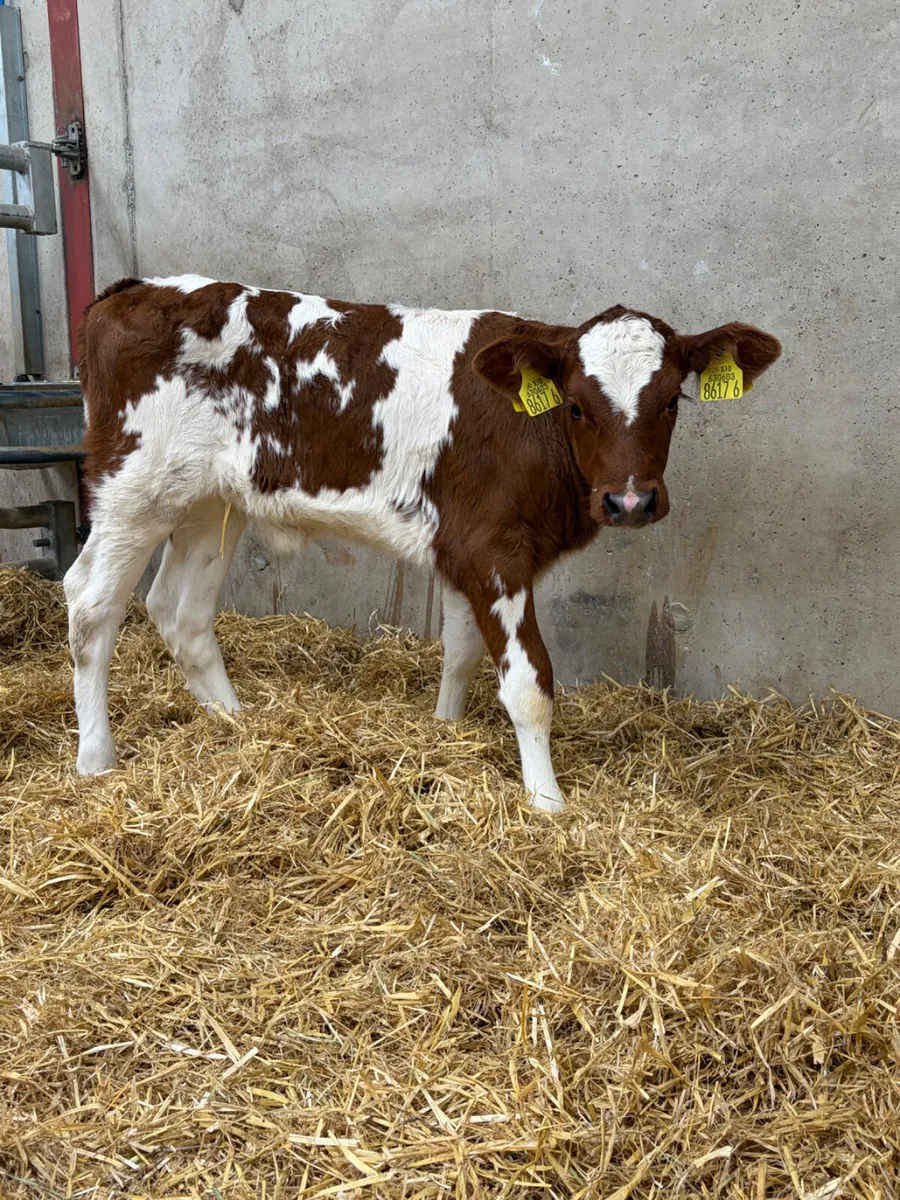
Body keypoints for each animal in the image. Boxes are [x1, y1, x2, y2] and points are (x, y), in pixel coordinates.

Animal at [64, 275, 781, 810]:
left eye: (673, 401)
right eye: (576, 405)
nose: (629, 501)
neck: (528, 430)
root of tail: (132, 290)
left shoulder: (462, 548)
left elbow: (460, 655)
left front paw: (445, 732)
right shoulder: (494, 552)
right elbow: (529, 682)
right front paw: (547, 804)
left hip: (208, 501)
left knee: (179, 611)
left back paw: (238, 724)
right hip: (132, 489)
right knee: (90, 605)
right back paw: (97, 760)